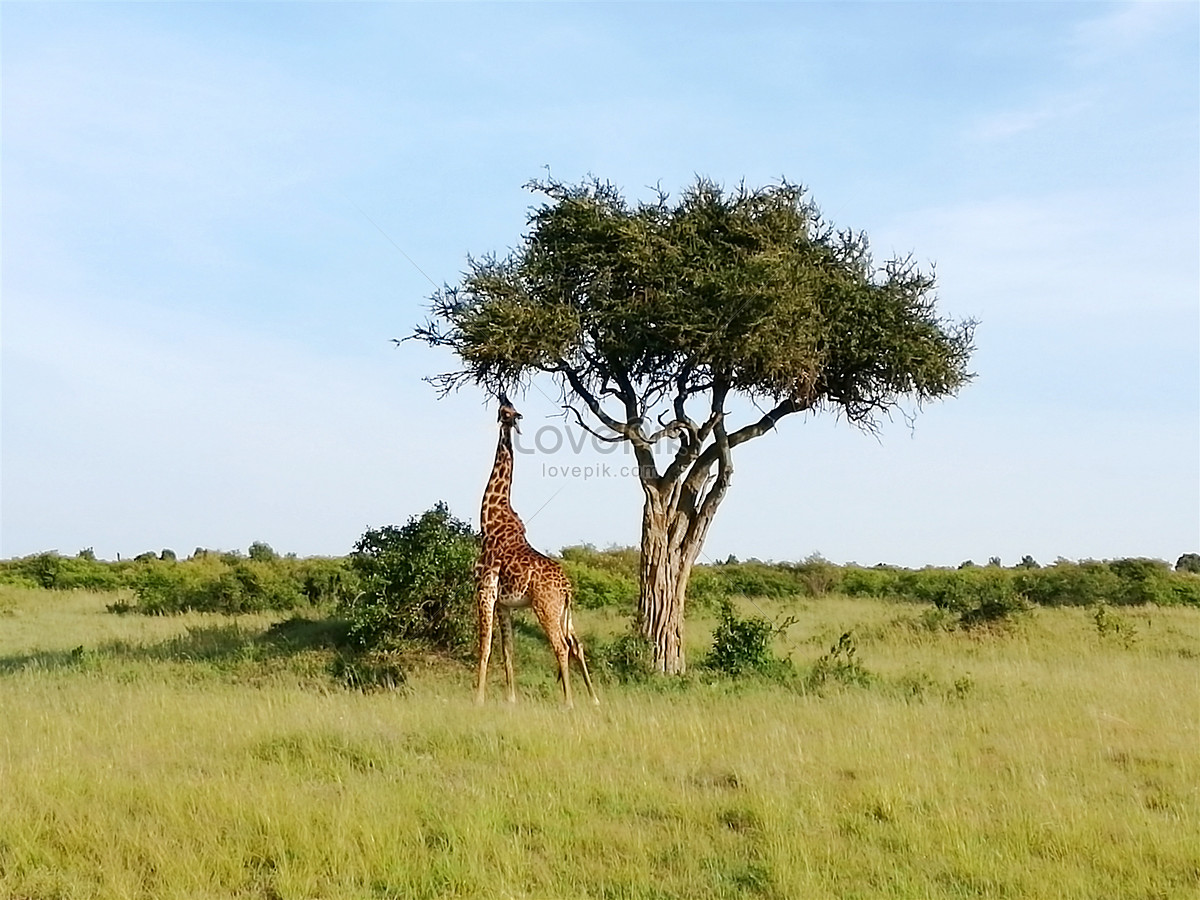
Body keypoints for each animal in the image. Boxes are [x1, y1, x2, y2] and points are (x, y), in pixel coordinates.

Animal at [470, 398, 597, 710]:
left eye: (507, 411)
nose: (502, 396)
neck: (489, 519)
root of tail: (567, 588)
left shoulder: (484, 591)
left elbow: (485, 646)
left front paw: (478, 699)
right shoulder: (504, 603)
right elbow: (507, 650)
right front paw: (511, 699)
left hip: (545, 607)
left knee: (561, 646)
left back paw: (569, 702)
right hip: (564, 611)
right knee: (577, 644)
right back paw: (594, 698)